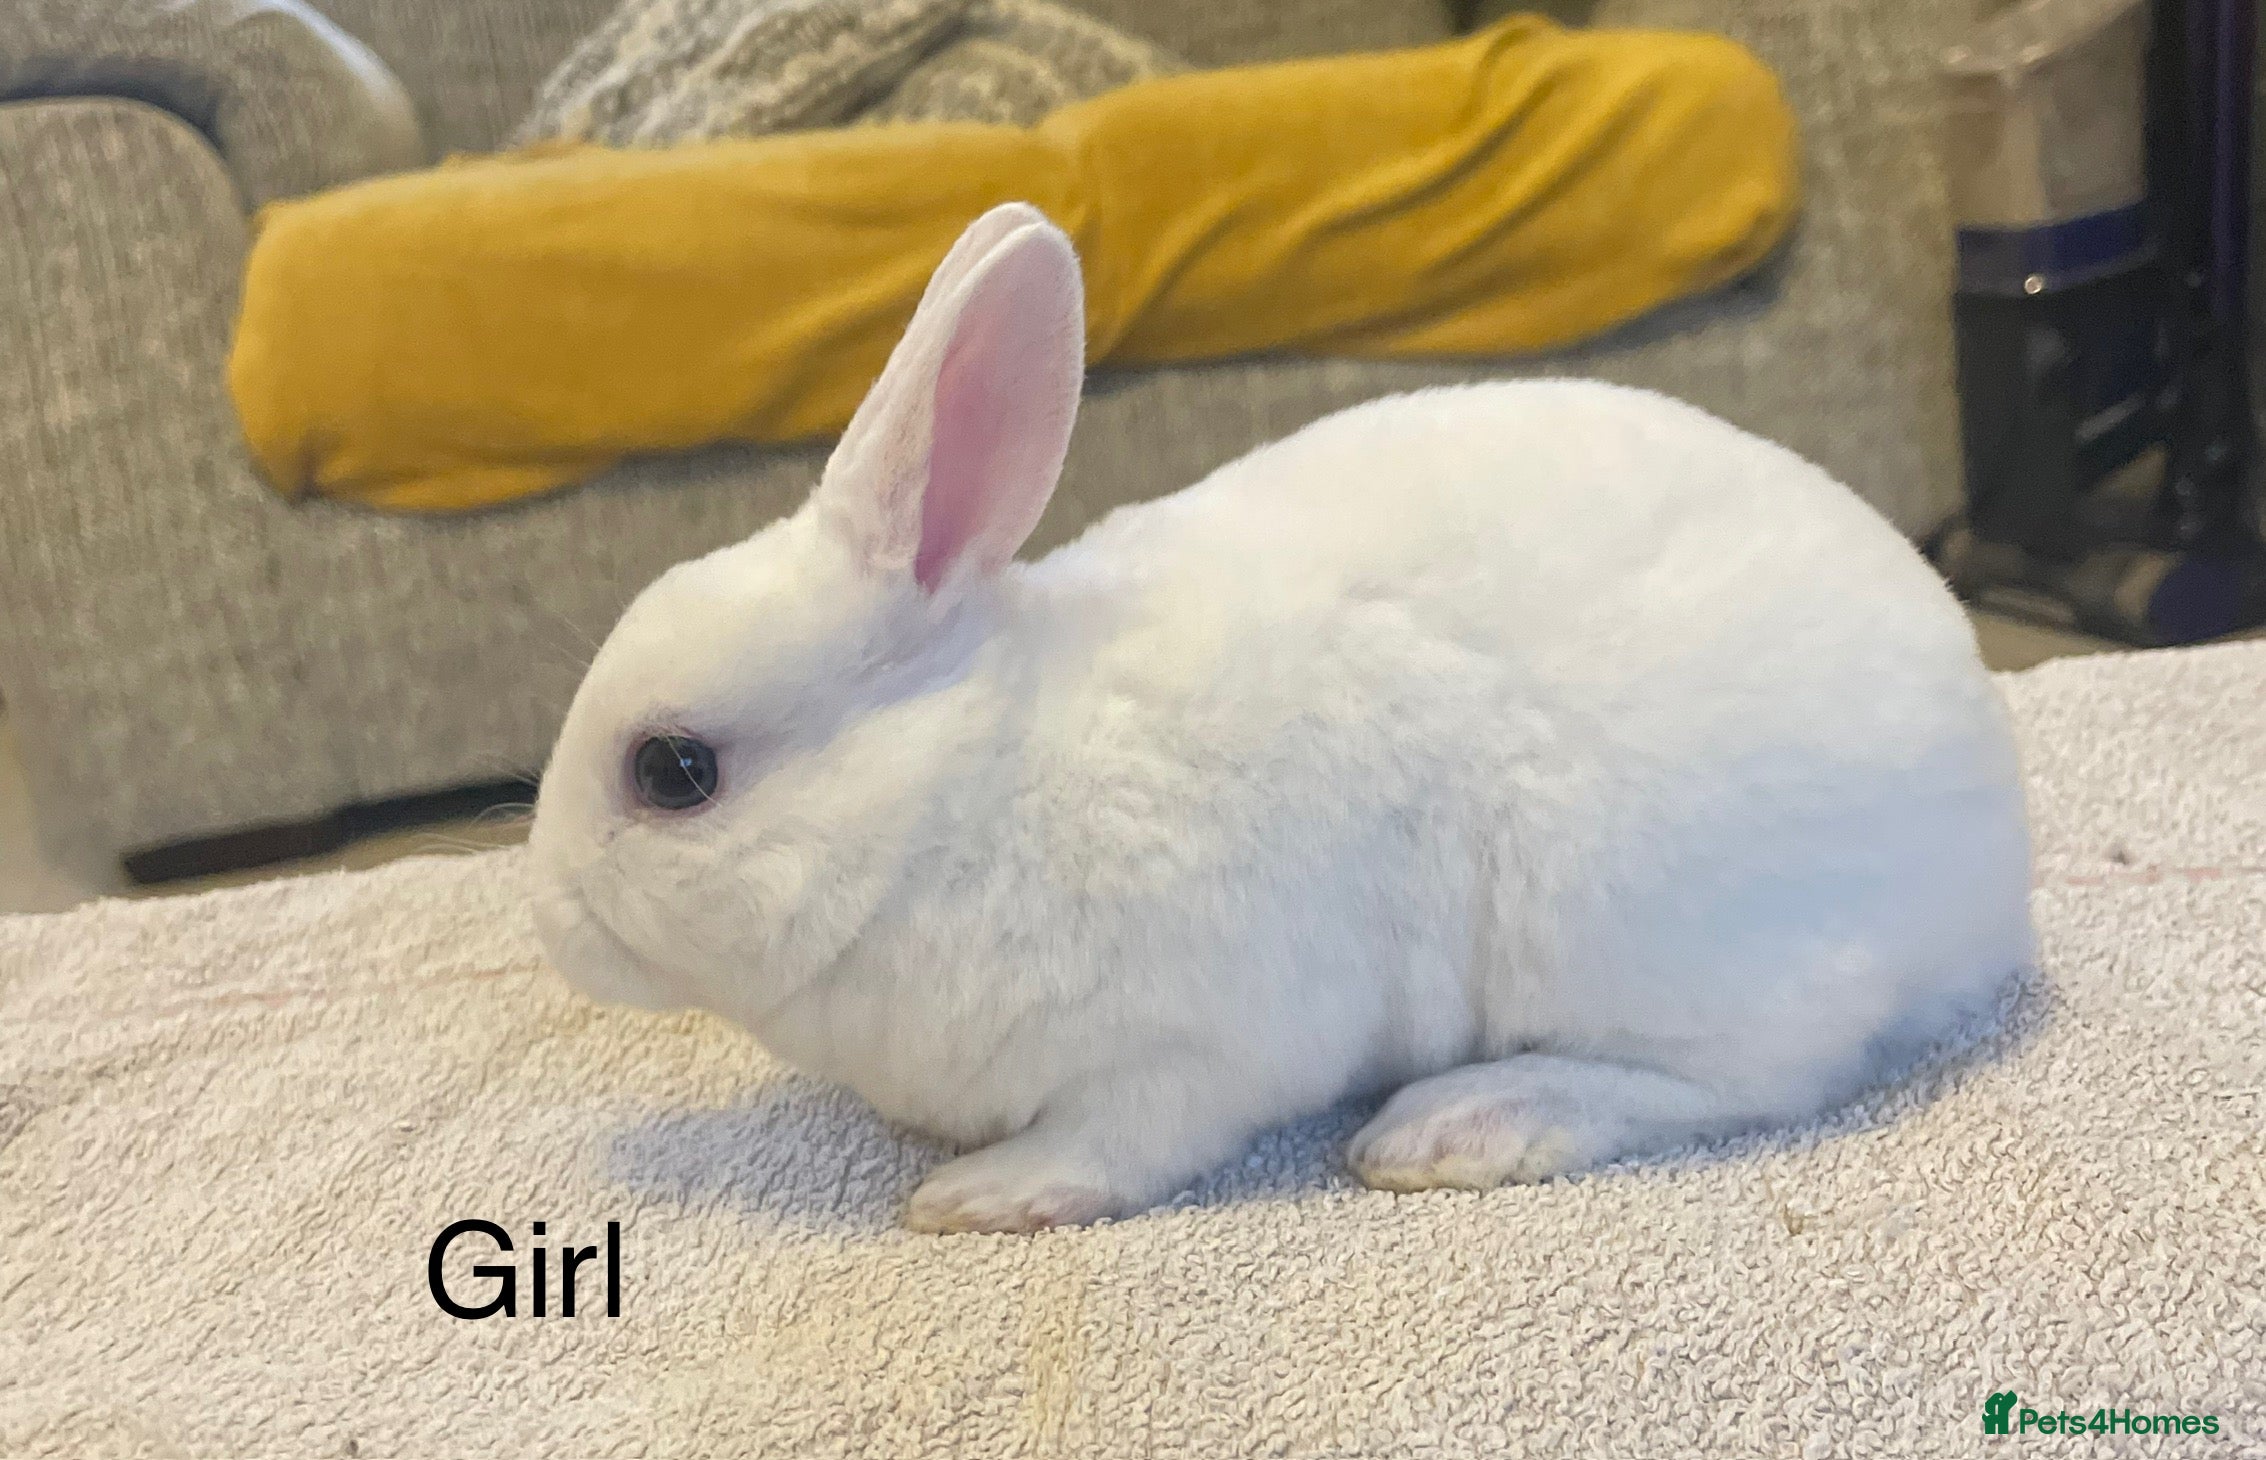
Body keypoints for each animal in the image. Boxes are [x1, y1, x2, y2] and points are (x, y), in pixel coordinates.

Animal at [529, 202, 2034, 1234]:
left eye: (673, 770)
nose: (544, 923)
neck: (951, 799)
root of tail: (1988, 861)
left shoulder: (1197, 1042)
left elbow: (1124, 1138)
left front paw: (982, 1196)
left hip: (1632, 918)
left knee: (1757, 1075)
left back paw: (1453, 1127)